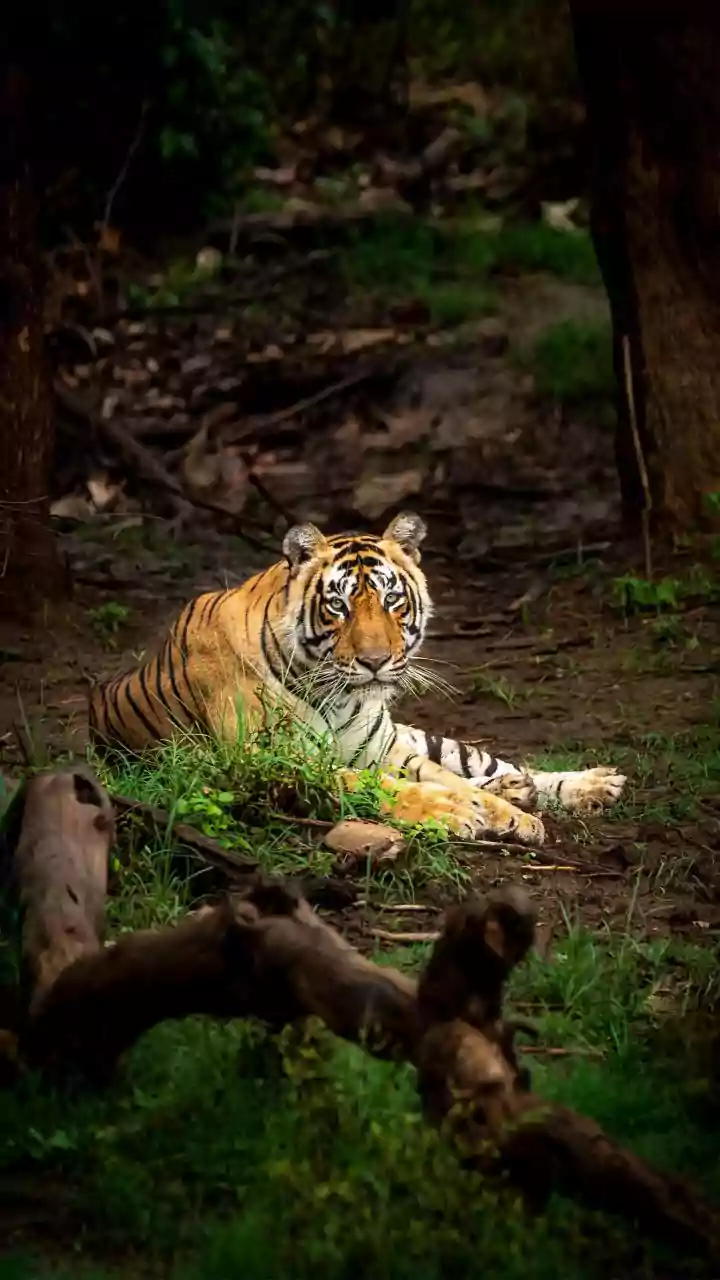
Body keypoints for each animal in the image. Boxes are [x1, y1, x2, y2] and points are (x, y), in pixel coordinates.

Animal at [87, 511, 626, 845]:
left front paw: (512, 816)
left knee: (487, 763)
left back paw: (587, 785)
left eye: (391, 600)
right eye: (338, 605)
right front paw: (456, 813)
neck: (340, 697)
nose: (375, 661)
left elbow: (447, 778)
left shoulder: (385, 749)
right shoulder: (276, 763)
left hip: (419, 737)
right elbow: (390, 787)